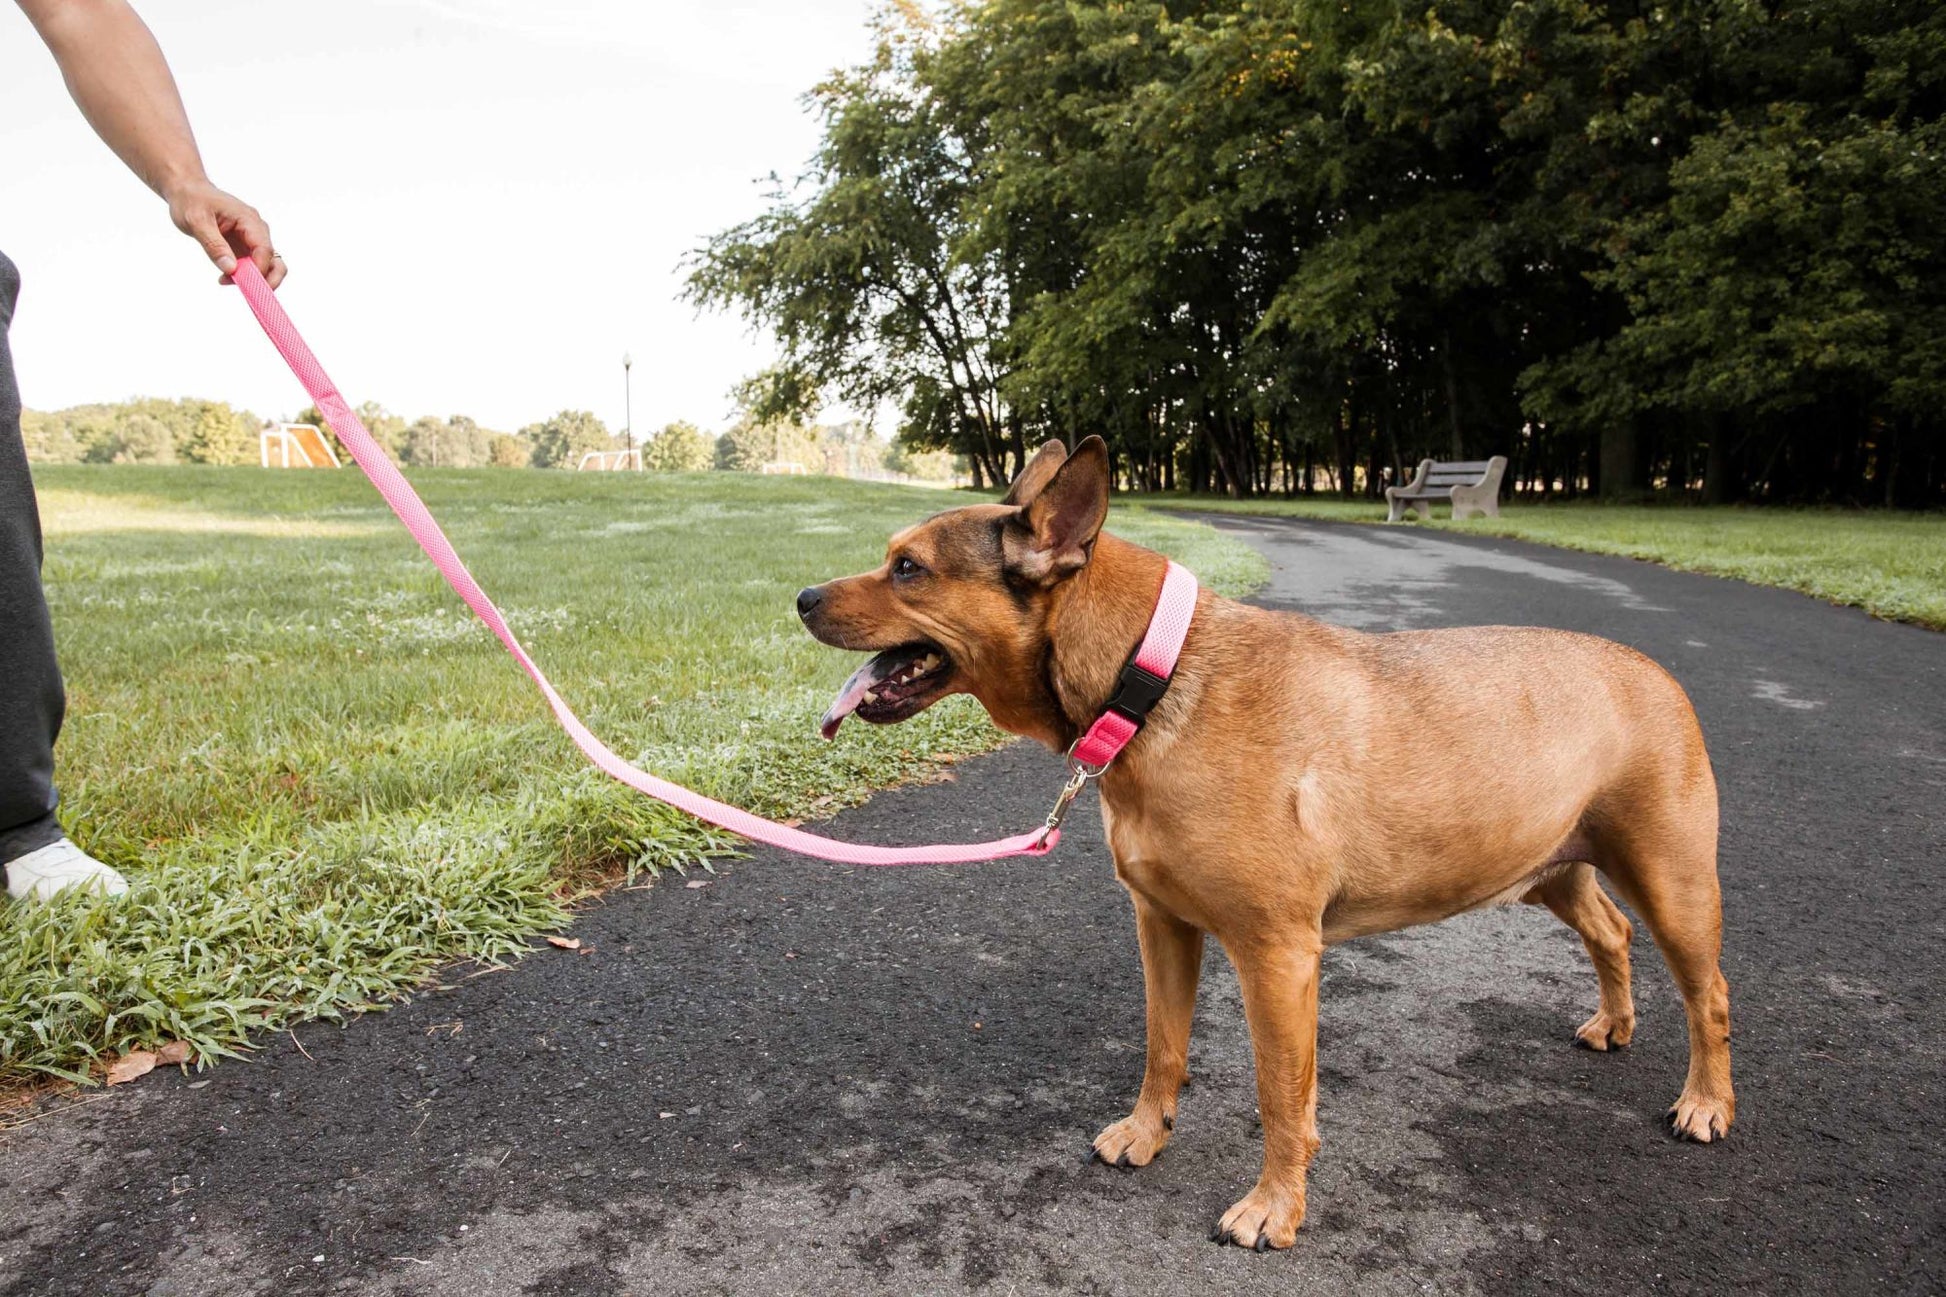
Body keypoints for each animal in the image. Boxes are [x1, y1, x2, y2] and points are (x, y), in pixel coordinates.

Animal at [790, 440, 1735, 1246]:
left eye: (908, 567)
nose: (799, 598)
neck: (1152, 672)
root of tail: (1657, 672)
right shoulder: (1163, 925)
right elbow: (1162, 1046)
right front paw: (1148, 1130)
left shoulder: (1277, 954)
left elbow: (1282, 1094)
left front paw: (1275, 1206)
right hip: (1551, 865)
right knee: (1611, 931)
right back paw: (1615, 1022)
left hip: (1674, 882)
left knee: (1709, 996)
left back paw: (1707, 1102)